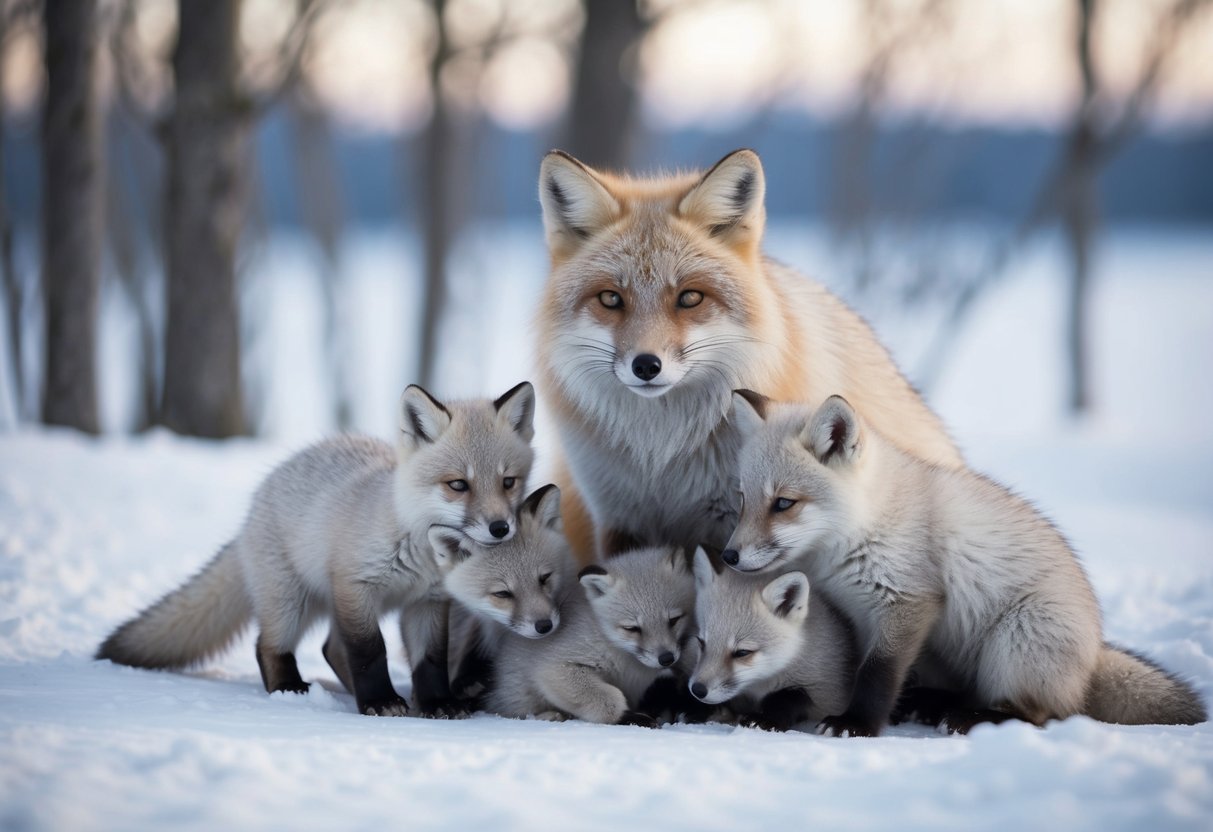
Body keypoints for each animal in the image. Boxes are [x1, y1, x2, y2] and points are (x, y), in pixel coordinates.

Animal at [96, 382, 537, 717]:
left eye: (509, 482)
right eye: (458, 485)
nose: (500, 528)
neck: (416, 551)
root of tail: (255, 503)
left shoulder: (426, 601)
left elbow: (430, 659)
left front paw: (435, 703)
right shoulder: (354, 587)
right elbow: (370, 652)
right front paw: (379, 702)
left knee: (329, 648)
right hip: (291, 602)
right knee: (269, 645)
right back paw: (289, 688)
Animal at [479, 537, 698, 726]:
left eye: (674, 620)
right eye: (632, 628)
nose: (666, 658)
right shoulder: (554, 668)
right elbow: (611, 700)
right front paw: (629, 717)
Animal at [688, 547, 858, 732]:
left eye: (742, 652)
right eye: (701, 642)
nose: (698, 690)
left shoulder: (828, 692)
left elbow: (788, 697)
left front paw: (765, 719)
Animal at [722, 389, 1208, 735]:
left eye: (784, 503)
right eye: (743, 500)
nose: (729, 555)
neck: (863, 528)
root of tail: (1093, 654)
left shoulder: (907, 603)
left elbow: (877, 674)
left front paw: (857, 724)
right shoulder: (861, 615)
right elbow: (860, 669)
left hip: (1017, 640)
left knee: (1039, 714)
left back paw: (973, 718)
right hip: (945, 651)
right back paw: (931, 705)